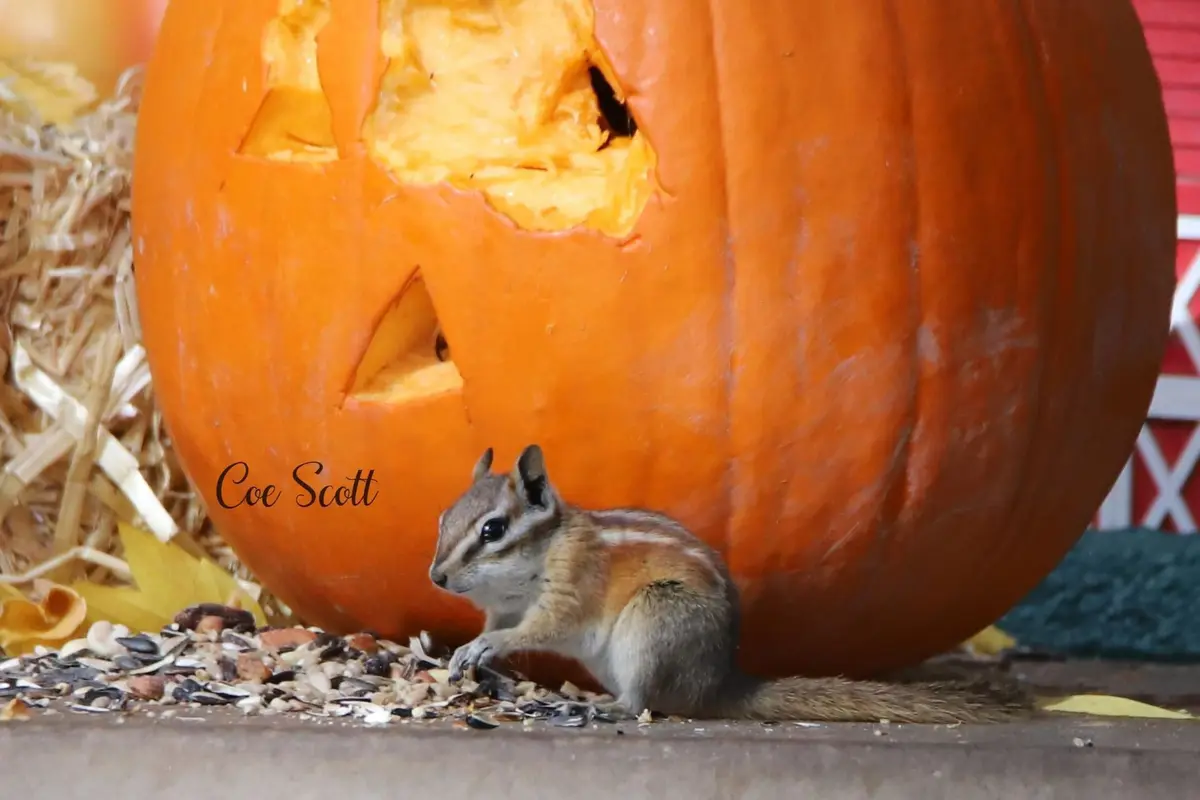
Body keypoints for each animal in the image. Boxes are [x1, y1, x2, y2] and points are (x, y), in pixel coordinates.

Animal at [427, 444, 1031, 724]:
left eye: (492, 530)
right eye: (443, 519)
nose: (437, 576)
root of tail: (717, 684)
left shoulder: (569, 587)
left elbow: (540, 628)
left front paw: (488, 647)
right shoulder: (504, 606)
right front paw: (466, 652)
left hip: (654, 620)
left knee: (642, 702)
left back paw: (598, 706)